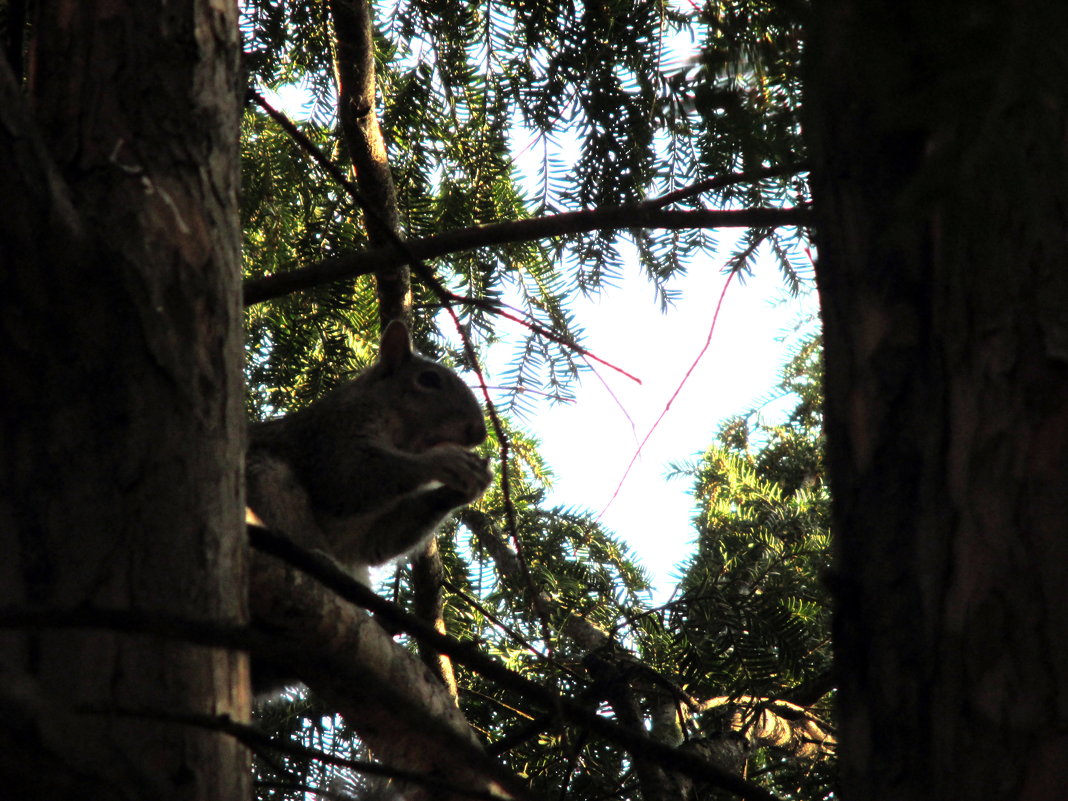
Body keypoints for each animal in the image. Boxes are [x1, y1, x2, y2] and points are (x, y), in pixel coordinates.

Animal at [245, 320, 491, 585]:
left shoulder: (359, 536)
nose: (480, 432)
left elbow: (375, 542)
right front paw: (445, 461)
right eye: (428, 379)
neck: (402, 440)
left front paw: (461, 490)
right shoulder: (331, 434)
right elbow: (348, 477)